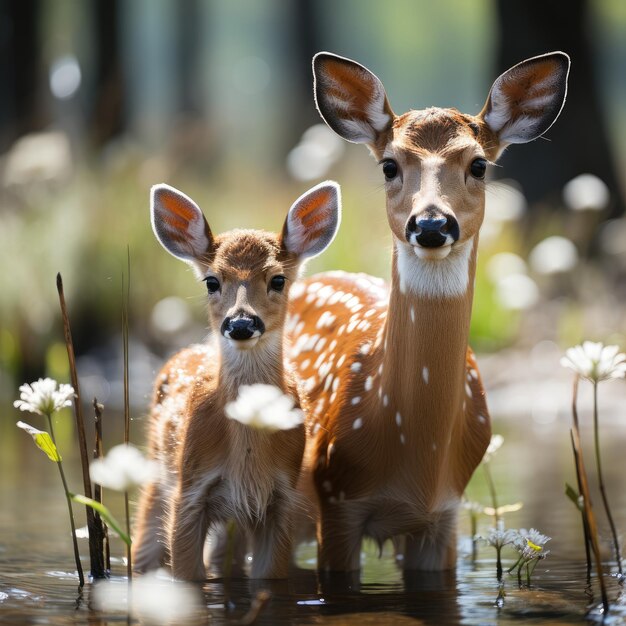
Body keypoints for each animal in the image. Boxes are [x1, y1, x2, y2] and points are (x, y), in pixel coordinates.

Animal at [132, 178, 344, 576]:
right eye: (212, 281)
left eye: (278, 279)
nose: (242, 323)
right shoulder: (190, 491)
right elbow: (187, 575)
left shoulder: (281, 497)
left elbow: (269, 577)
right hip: (157, 474)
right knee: (142, 551)